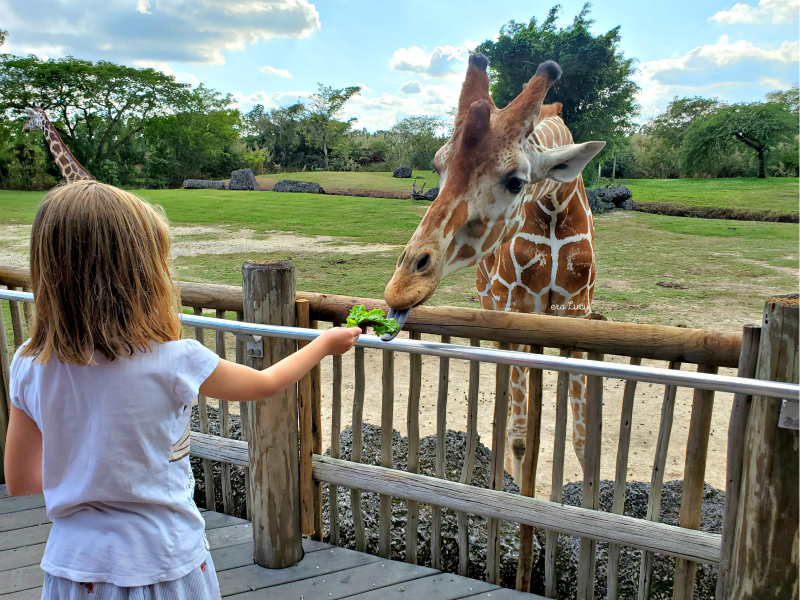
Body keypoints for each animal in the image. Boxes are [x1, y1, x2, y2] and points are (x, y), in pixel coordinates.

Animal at [383, 55, 605, 482]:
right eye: (438, 167)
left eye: (516, 181)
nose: (402, 286)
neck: (555, 203)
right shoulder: (514, 307)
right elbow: (518, 436)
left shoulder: (576, 311)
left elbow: (584, 442)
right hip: (494, 302)